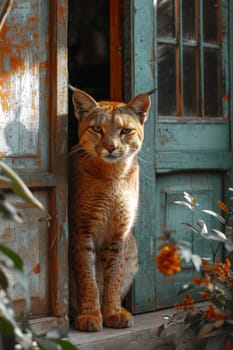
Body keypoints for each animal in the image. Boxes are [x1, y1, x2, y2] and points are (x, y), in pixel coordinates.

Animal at [69, 89, 152, 332]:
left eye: (126, 131)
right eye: (97, 129)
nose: (111, 148)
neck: (114, 173)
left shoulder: (121, 230)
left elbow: (114, 274)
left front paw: (113, 311)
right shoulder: (82, 228)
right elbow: (87, 275)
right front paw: (90, 313)